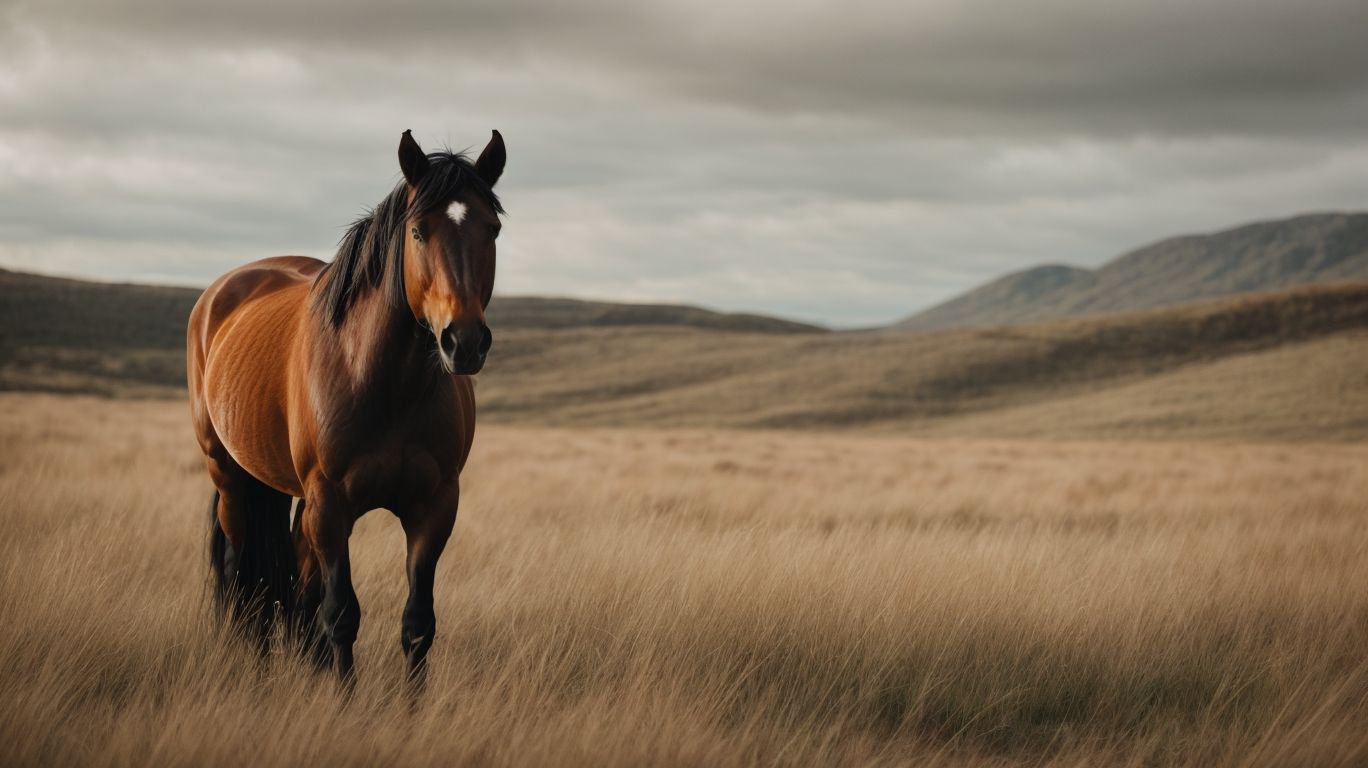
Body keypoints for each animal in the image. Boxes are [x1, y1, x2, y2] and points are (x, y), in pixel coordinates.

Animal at [186, 129, 506, 688]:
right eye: (418, 231)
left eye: (492, 229)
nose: (464, 342)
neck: (386, 383)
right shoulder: (331, 505)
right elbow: (341, 614)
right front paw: (343, 698)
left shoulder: (435, 508)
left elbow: (417, 623)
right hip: (229, 475)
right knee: (238, 568)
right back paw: (251, 663)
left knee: (292, 576)